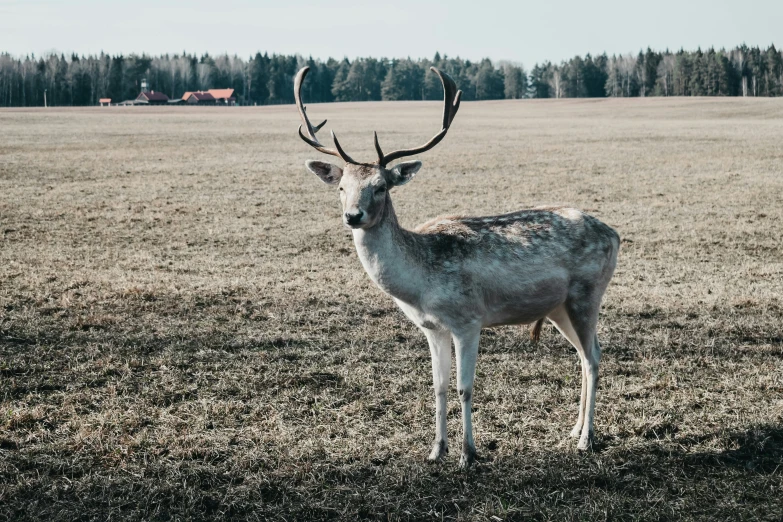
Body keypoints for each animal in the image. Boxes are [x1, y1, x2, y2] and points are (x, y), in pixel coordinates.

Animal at [294, 65, 620, 468]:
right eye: (341, 186)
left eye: (382, 186)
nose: (353, 215)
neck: (420, 286)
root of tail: (615, 235)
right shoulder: (432, 328)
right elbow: (439, 386)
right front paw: (436, 450)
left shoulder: (469, 320)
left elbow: (465, 387)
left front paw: (468, 454)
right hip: (559, 307)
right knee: (583, 353)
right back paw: (574, 430)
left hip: (587, 294)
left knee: (593, 356)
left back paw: (586, 439)